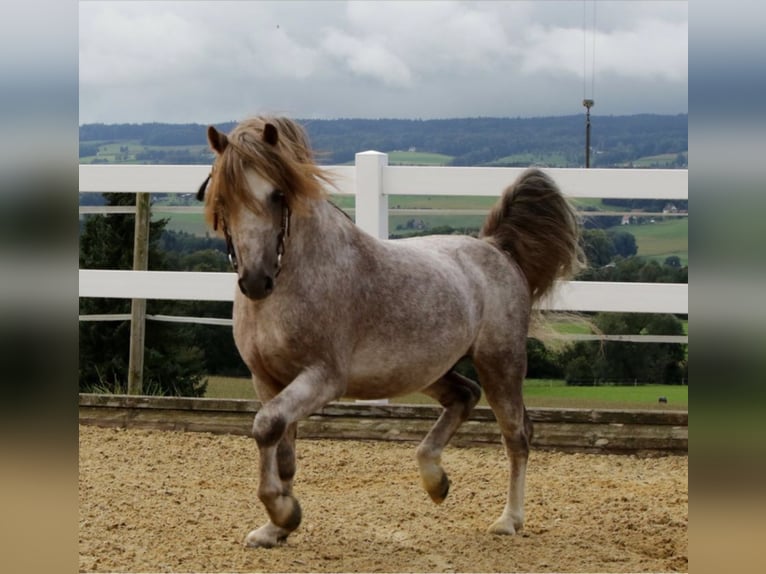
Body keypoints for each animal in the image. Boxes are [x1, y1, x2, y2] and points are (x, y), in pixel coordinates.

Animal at [195, 116, 584, 548]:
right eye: (220, 196)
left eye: (278, 194)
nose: (256, 281)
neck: (297, 277)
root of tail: (497, 248)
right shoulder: (267, 379)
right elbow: (282, 450)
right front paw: (276, 528)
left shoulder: (323, 377)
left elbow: (265, 427)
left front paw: (283, 512)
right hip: (424, 370)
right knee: (464, 395)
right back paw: (436, 481)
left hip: (500, 362)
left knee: (517, 434)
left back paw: (508, 520)